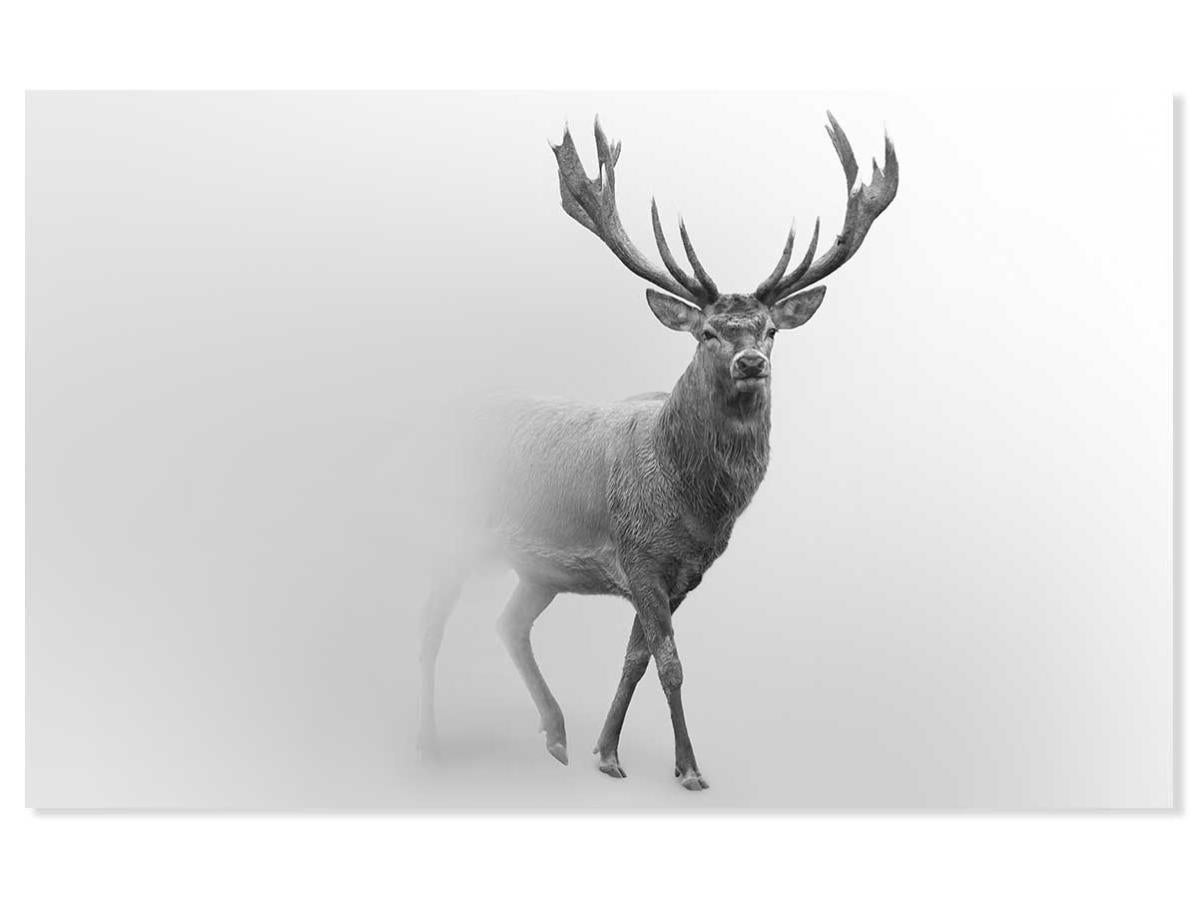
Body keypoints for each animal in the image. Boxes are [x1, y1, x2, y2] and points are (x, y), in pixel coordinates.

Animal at [416, 112, 898, 790]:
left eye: (771, 331)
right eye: (708, 332)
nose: (751, 362)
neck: (694, 504)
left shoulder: (681, 576)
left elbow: (635, 660)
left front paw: (605, 752)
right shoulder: (638, 556)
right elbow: (670, 665)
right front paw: (689, 768)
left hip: (538, 569)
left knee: (507, 623)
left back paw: (557, 736)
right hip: (452, 531)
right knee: (430, 627)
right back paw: (431, 745)